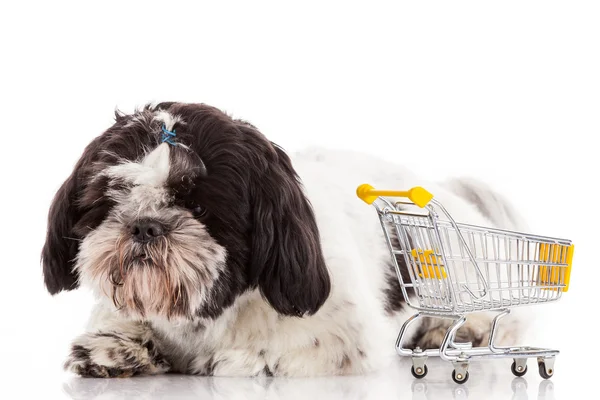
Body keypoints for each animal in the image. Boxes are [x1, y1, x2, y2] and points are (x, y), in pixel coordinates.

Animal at [42, 101, 528, 376]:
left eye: (199, 207)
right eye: (115, 199)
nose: (144, 225)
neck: (210, 312)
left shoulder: (344, 339)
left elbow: (273, 355)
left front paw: (237, 360)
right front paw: (114, 348)